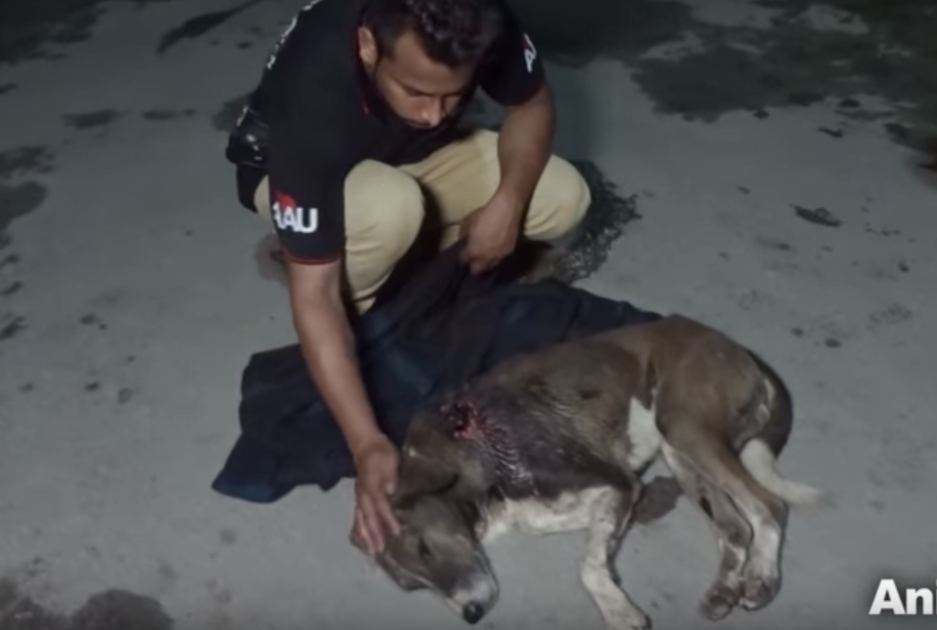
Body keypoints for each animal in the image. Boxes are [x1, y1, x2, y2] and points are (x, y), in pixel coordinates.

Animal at [353, 314, 825, 630]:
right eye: (414, 587)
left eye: (425, 549)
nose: (471, 615)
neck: (476, 451)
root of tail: (738, 348)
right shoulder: (602, 502)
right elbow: (597, 554)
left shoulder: (618, 484)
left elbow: (586, 565)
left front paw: (617, 610)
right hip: (679, 451)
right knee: (735, 528)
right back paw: (725, 588)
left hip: (684, 425)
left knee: (769, 505)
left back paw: (762, 576)